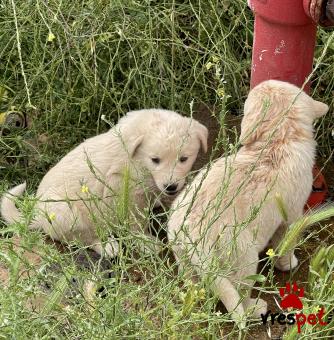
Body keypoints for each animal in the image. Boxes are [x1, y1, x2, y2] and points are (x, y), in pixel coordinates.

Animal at [1, 109, 207, 258]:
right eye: (155, 160)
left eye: (184, 159)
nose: (171, 187)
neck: (136, 158)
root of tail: (37, 214)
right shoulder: (126, 196)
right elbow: (136, 224)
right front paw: (145, 242)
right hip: (68, 214)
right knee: (82, 238)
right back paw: (107, 246)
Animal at [167, 80, 328, 324]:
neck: (278, 139)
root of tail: (194, 236)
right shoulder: (291, 217)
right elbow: (286, 243)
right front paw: (288, 264)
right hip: (245, 259)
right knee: (240, 295)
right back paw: (255, 308)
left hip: (182, 255)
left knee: (193, 283)